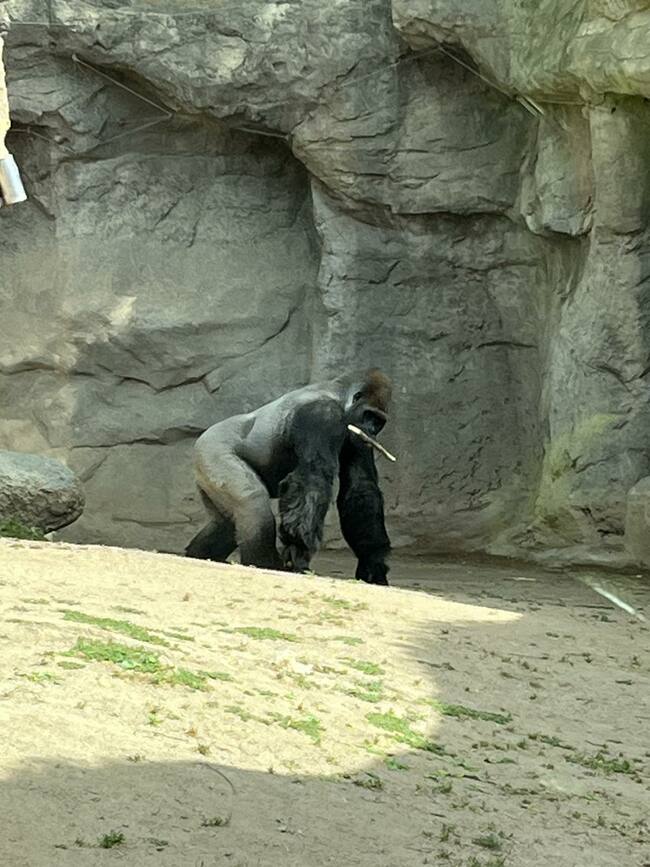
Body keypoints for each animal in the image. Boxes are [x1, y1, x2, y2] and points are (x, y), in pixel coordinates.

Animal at [185, 370, 392, 588]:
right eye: (369, 415)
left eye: (378, 422)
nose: (371, 431)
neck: (339, 395)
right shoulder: (322, 414)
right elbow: (313, 477)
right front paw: (298, 550)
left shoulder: (358, 439)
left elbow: (360, 487)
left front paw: (372, 563)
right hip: (212, 449)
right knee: (254, 505)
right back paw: (263, 564)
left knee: (225, 525)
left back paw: (199, 554)